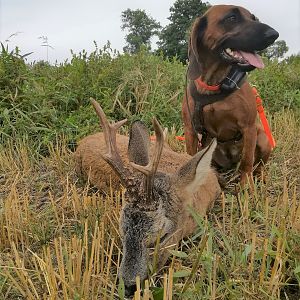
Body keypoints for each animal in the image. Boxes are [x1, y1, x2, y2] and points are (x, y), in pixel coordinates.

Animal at [183, 4, 278, 184]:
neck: (215, 84)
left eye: (254, 18)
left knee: (258, 166)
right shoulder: (190, 129)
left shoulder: (249, 127)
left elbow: (247, 162)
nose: (274, 35)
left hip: (263, 139)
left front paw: (246, 188)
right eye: (232, 18)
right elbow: (189, 156)